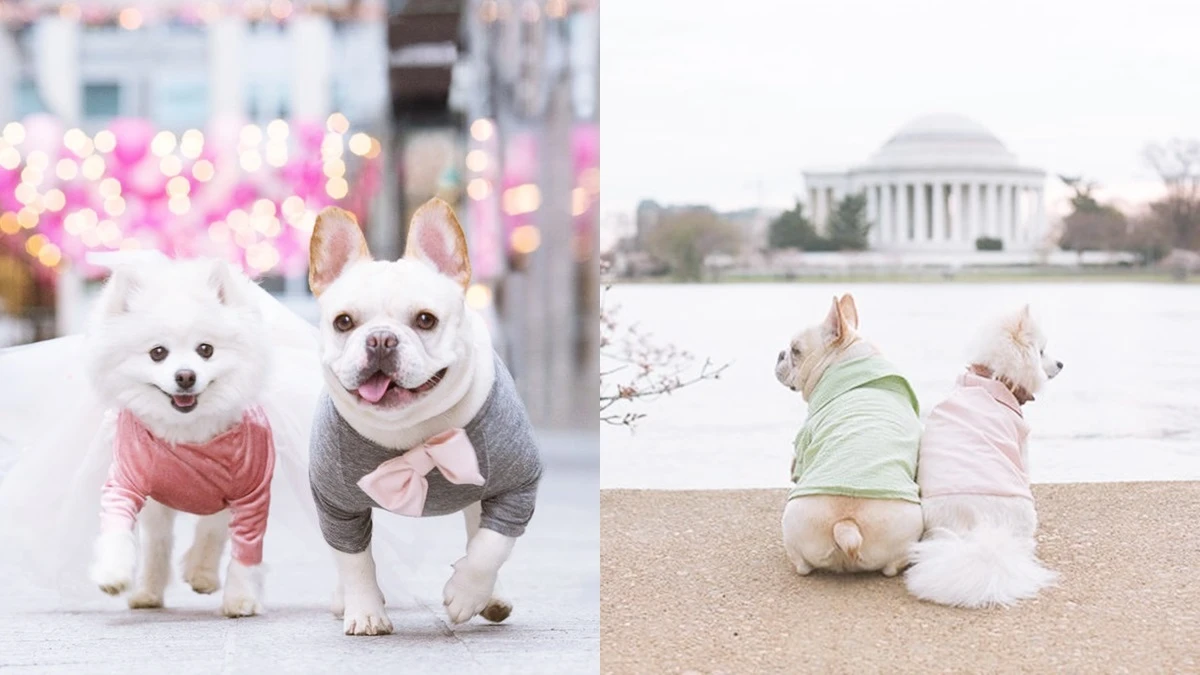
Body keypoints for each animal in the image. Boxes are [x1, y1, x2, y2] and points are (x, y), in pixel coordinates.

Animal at [902, 306, 1065, 610]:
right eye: (1041, 352)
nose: (1061, 364)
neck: (990, 378)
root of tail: (978, 529)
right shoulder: (1021, 444)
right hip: (1025, 512)